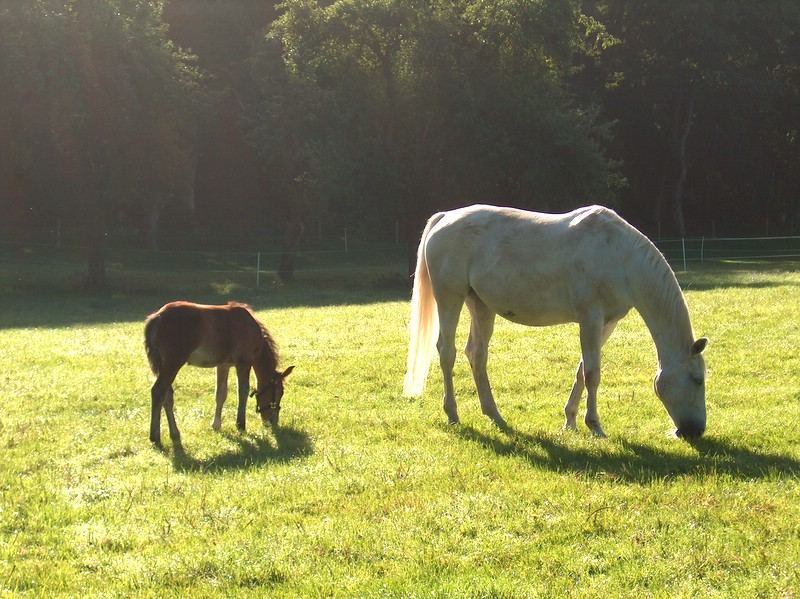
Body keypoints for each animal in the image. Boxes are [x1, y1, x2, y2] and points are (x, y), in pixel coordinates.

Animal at [404, 204, 708, 438]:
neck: (620, 257)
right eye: (697, 379)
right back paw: (453, 414)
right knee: (447, 352)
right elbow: (592, 373)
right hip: (450, 298)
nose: (695, 431)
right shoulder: (590, 318)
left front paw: (570, 421)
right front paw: (595, 426)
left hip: (480, 305)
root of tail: (444, 217)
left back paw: (495, 415)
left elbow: (582, 369)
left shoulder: (606, 324)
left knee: (476, 355)